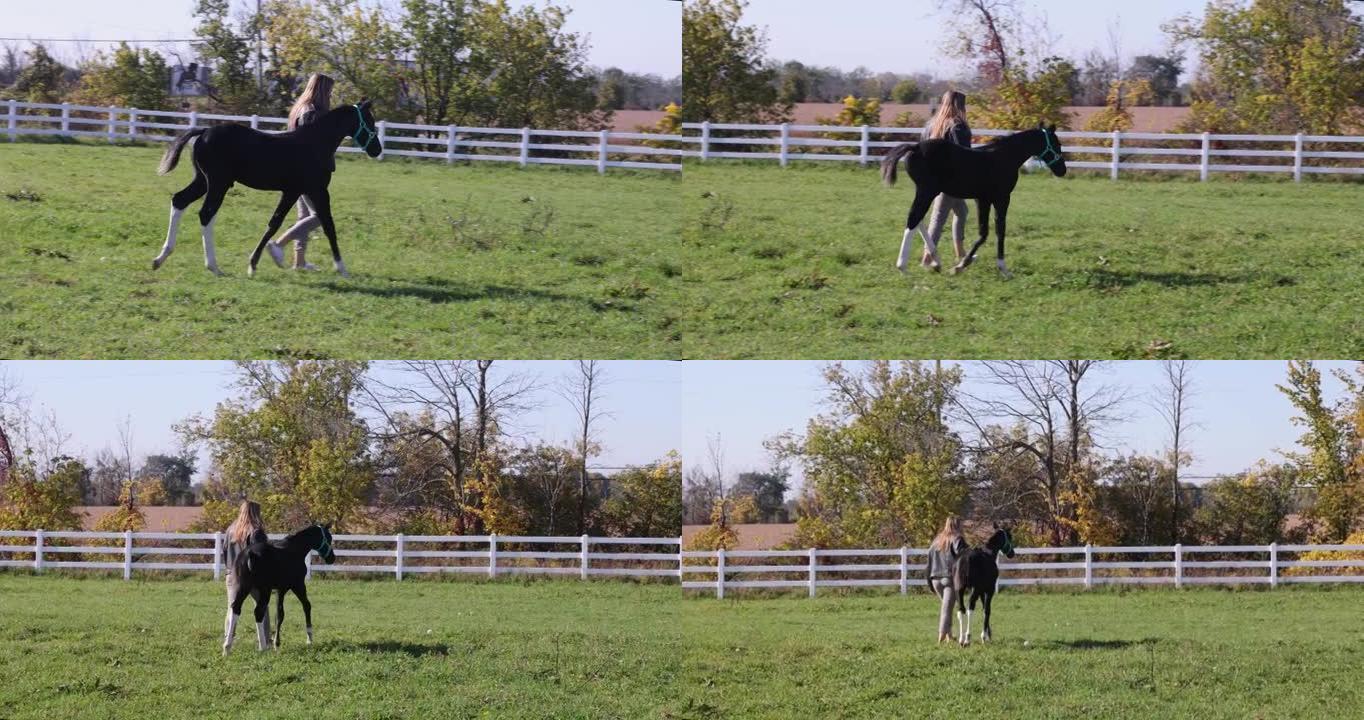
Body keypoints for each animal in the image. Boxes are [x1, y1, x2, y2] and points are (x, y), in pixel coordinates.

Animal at [154, 100, 384, 278]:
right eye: (369, 121)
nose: (377, 150)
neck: (314, 144)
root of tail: (204, 132)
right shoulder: (307, 191)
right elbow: (316, 225)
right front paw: (342, 268)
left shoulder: (303, 191)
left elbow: (296, 223)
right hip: (218, 184)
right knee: (205, 213)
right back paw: (213, 266)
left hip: (202, 181)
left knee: (179, 200)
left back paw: (160, 258)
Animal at [222, 520, 334, 654]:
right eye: (329, 538)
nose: (332, 558)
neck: (294, 551)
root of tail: (250, 553)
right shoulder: (294, 586)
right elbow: (299, 608)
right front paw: (307, 639)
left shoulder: (279, 589)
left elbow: (278, 614)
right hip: (264, 590)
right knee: (258, 611)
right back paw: (263, 647)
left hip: (244, 587)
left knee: (236, 608)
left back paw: (227, 647)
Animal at [883, 124, 1063, 275]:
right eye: (1057, 144)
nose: (1062, 170)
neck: (1004, 157)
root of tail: (915, 147)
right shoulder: (1001, 198)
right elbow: (996, 231)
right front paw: (997, 267)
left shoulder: (983, 200)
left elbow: (985, 232)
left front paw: (963, 263)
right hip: (926, 191)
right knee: (914, 218)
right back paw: (903, 266)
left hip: (927, 192)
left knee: (918, 219)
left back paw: (936, 262)